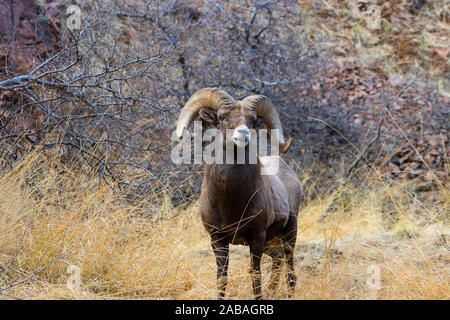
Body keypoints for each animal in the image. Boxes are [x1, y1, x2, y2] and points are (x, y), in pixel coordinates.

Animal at [176, 87, 302, 300]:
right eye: (221, 117)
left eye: (253, 120)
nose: (243, 133)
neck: (230, 202)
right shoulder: (217, 239)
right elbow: (222, 277)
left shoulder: (257, 236)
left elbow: (255, 275)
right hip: (271, 243)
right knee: (278, 261)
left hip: (290, 233)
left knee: (290, 269)